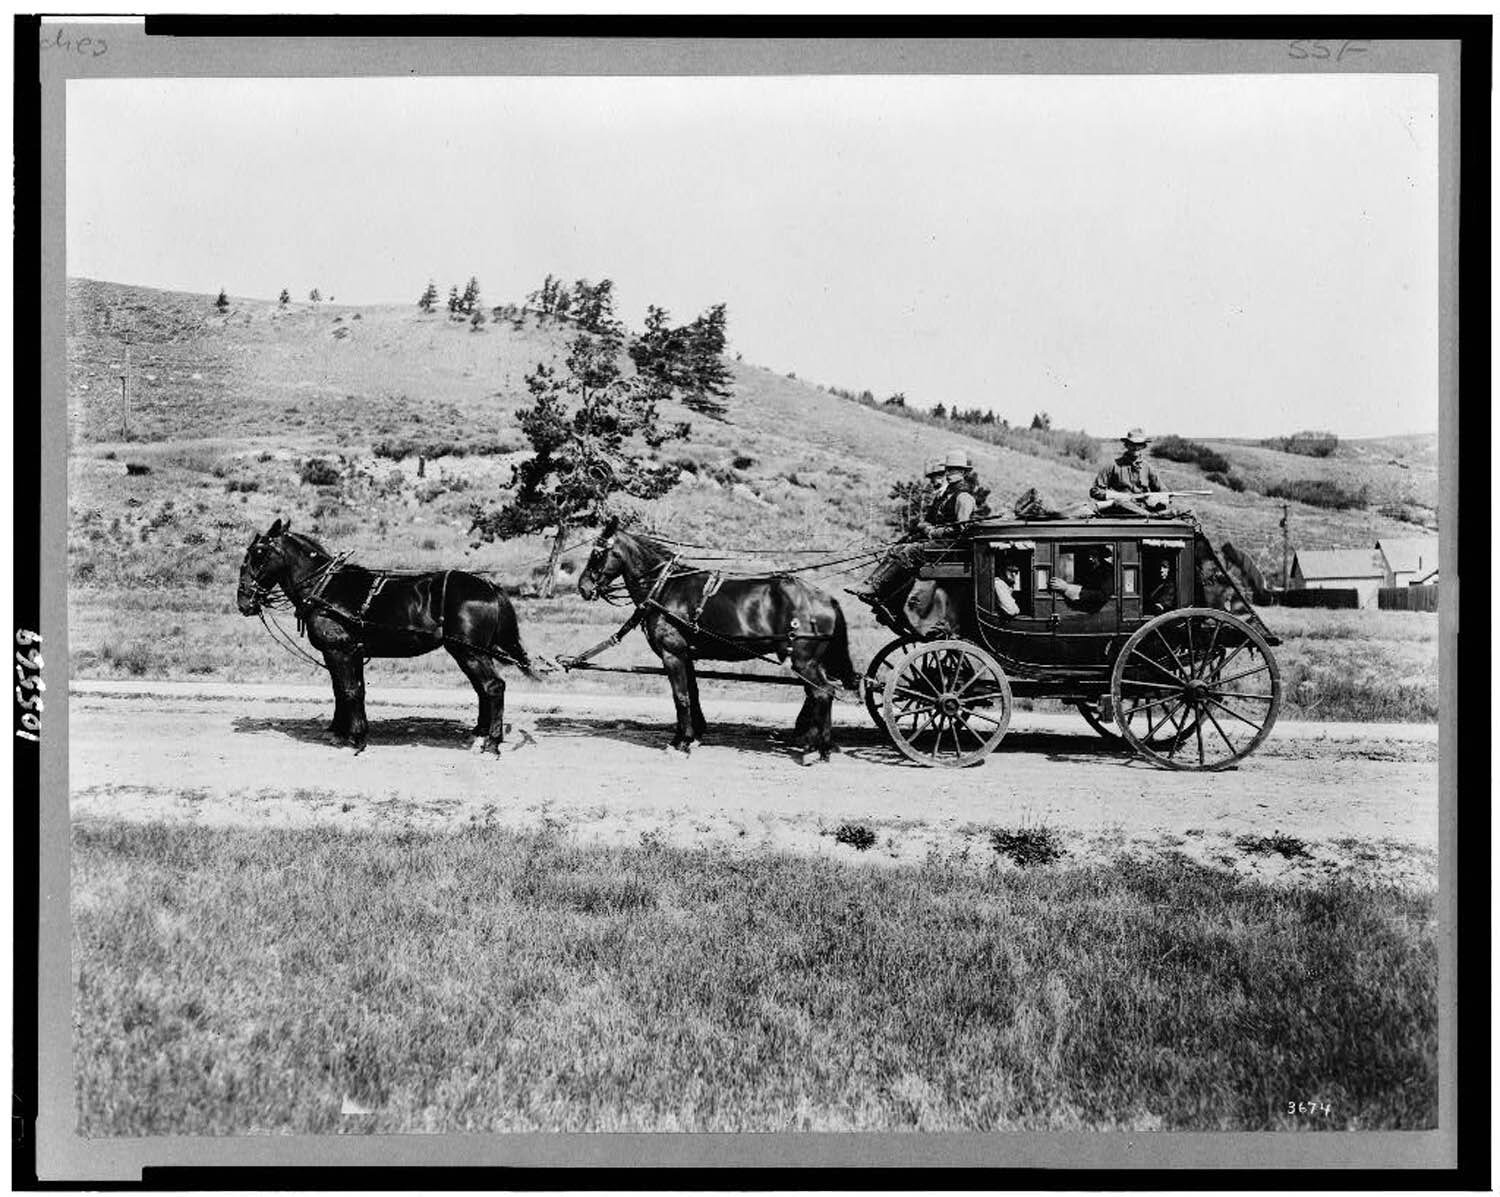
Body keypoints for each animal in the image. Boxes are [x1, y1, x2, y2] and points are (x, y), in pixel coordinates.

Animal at [234, 519, 540, 759]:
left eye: (258, 552)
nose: (244, 601)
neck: (325, 587)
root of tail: (489, 586)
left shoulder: (341, 651)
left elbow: (350, 691)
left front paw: (356, 739)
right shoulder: (346, 653)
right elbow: (343, 690)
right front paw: (339, 732)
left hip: (470, 652)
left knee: (493, 687)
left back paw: (492, 742)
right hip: (469, 652)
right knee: (483, 690)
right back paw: (479, 735)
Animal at [573, 519, 858, 765]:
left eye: (597, 553)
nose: (583, 587)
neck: (664, 587)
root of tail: (826, 599)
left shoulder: (672, 654)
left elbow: (681, 697)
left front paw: (680, 743)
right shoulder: (686, 655)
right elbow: (693, 694)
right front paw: (692, 736)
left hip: (804, 661)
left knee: (822, 692)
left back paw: (817, 750)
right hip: (810, 663)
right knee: (821, 693)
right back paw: (817, 746)